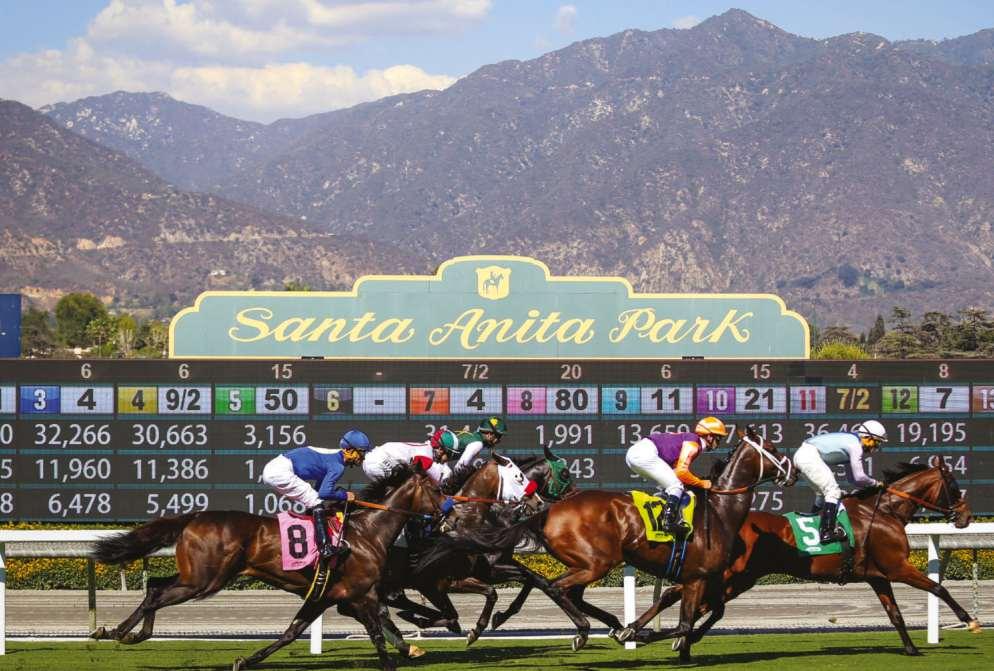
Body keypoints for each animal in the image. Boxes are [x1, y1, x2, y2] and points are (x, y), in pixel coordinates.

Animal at [91, 464, 444, 671]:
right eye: (437, 489)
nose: (447, 512)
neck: (367, 532)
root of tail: (195, 516)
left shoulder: (326, 597)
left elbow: (290, 633)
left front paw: (245, 660)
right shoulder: (362, 594)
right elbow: (377, 632)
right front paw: (397, 658)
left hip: (196, 574)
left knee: (154, 585)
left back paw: (132, 633)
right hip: (205, 581)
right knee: (156, 595)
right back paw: (117, 631)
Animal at [381, 446, 580, 644]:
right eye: (564, 473)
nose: (537, 502)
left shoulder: (492, 566)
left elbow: (533, 578)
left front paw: (499, 617)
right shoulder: (456, 578)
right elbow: (495, 591)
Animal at [417, 427, 795, 654]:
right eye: (773, 447)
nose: (791, 471)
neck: (719, 511)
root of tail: (552, 511)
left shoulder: (695, 578)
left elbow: (685, 613)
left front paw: (634, 631)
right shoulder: (698, 577)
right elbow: (684, 623)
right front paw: (639, 634)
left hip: (589, 562)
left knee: (557, 587)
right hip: (597, 562)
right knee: (556, 587)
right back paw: (584, 630)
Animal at [622, 460, 980, 658]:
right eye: (954, 485)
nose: (966, 517)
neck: (885, 512)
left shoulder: (877, 576)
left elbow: (896, 614)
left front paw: (911, 648)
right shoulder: (897, 567)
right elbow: (938, 588)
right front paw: (969, 620)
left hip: (740, 577)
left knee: (692, 601)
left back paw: (656, 636)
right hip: (731, 575)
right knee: (689, 599)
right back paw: (653, 635)